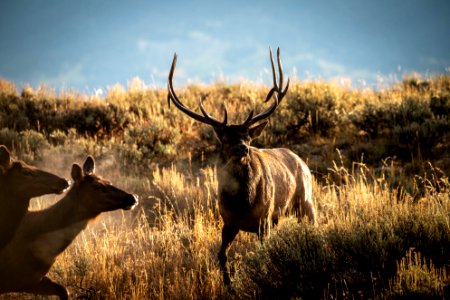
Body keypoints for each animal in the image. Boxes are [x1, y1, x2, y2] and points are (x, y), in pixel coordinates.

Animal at [166, 47, 316, 284]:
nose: (243, 148)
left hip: (305, 200)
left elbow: (265, 254)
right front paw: (228, 285)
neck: (243, 203)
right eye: (226, 138)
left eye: (248, 137)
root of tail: (301, 160)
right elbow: (221, 256)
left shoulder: (264, 219)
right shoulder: (228, 221)